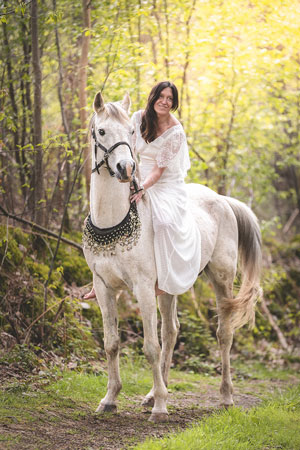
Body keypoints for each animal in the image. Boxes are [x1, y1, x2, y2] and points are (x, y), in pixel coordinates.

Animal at [83, 91, 262, 422]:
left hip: (221, 279)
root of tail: (221, 199)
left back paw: (225, 396)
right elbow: (112, 343)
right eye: (101, 131)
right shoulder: (104, 287)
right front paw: (110, 398)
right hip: (169, 287)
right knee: (171, 332)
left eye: (131, 131)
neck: (113, 221)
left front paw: (162, 408)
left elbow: (149, 347)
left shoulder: (142, 288)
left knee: (223, 333)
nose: (126, 169)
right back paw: (154, 393)